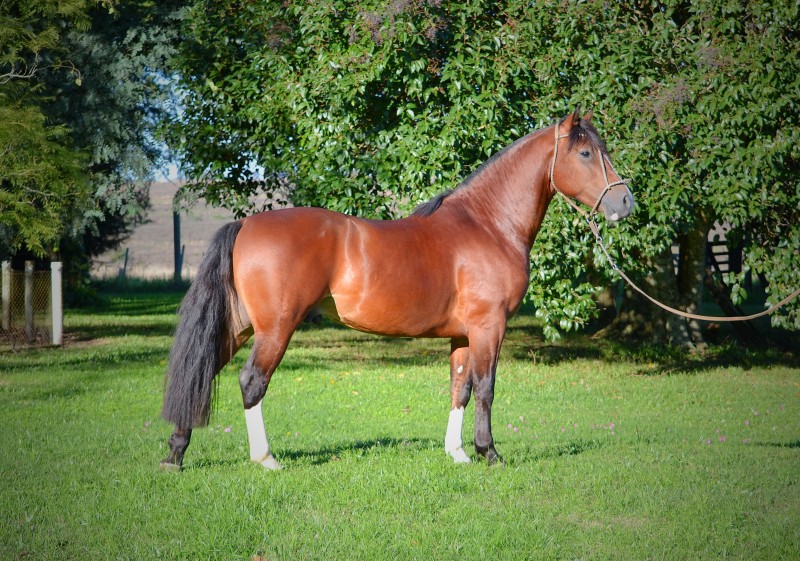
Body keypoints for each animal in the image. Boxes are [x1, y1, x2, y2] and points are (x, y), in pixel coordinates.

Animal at [160, 108, 634, 470]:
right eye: (586, 153)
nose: (625, 202)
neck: (489, 224)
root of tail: (245, 225)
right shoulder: (489, 327)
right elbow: (485, 387)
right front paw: (490, 454)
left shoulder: (463, 335)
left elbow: (459, 389)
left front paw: (458, 454)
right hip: (275, 328)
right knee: (251, 381)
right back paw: (265, 459)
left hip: (241, 325)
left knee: (205, 368)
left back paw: (175, 454)